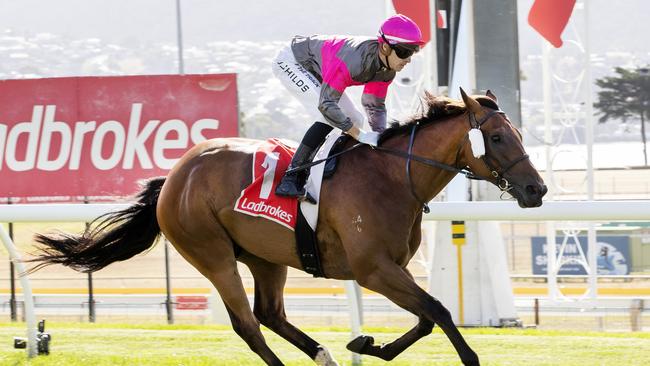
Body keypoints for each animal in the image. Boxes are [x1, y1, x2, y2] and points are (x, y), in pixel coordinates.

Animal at [31, 89, 548, 366]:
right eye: (496, 137)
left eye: (519, 134)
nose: (537, 189)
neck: (391, 176)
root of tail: (175, 176)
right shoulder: (373, 270)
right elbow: (438, 310)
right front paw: (469, 357)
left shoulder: (393, 268)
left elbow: (425, 317)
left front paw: (366, 342)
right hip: (212, 254)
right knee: (247, 324)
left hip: (265, 258)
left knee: (270, 314)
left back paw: (323, 353)